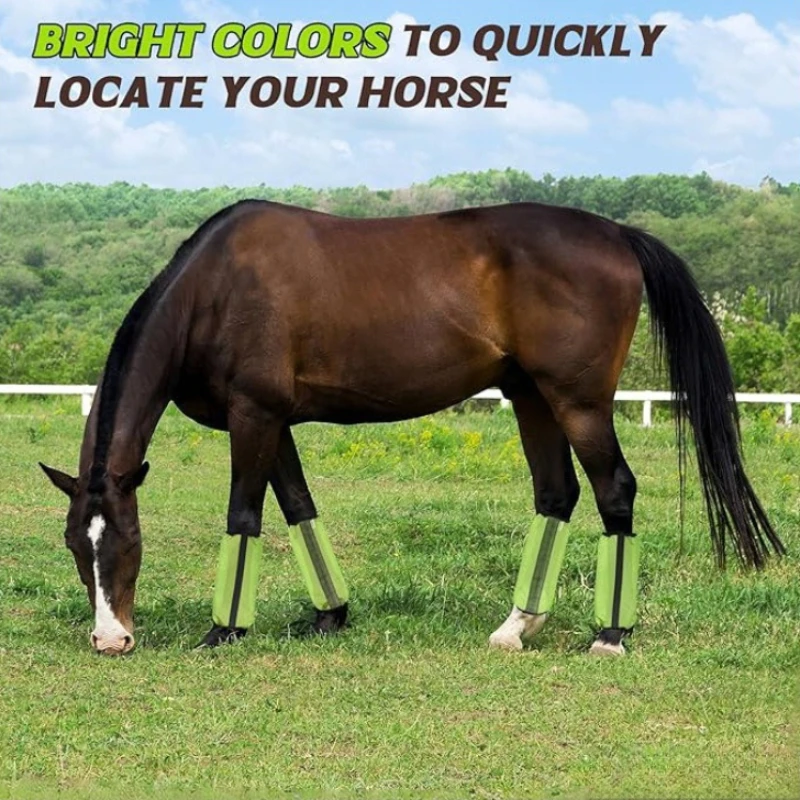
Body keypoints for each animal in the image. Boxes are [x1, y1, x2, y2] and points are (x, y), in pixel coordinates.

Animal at [40, 199, 785, 656]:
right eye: (77, 545)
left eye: (132, 542)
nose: (111, 639)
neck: (217, 288)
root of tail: (618, 234)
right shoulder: (271, 421)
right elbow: (299, 507)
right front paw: (330, 616)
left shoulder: (253, 416)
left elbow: (244, 516)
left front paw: (225, 630)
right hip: (531, 397)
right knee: (557, 495)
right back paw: (516, 627)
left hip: (579, 402)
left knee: (615, 492)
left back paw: (609, 634)